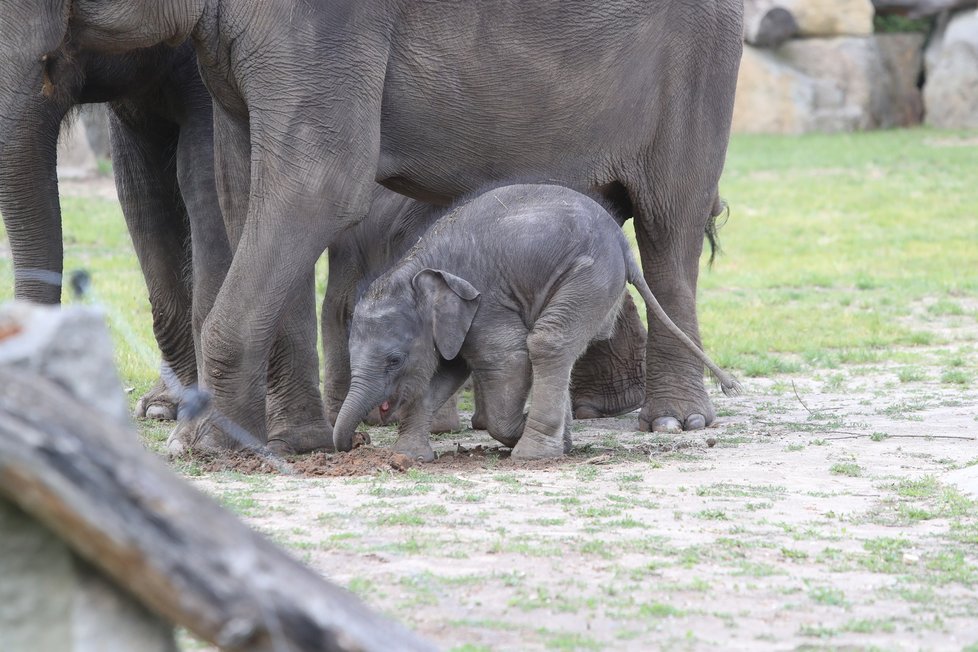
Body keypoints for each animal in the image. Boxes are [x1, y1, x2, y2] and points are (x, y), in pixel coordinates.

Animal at [332, 182, 736, 458]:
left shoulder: (488, 306)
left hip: (590, 275)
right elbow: (444, 375)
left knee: (547, 341)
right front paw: (408, 457)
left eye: (394, 360)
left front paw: (522, 432)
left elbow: (508, 360)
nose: (357, 441)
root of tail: (623, 246)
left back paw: (536, 452)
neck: (416, 268)